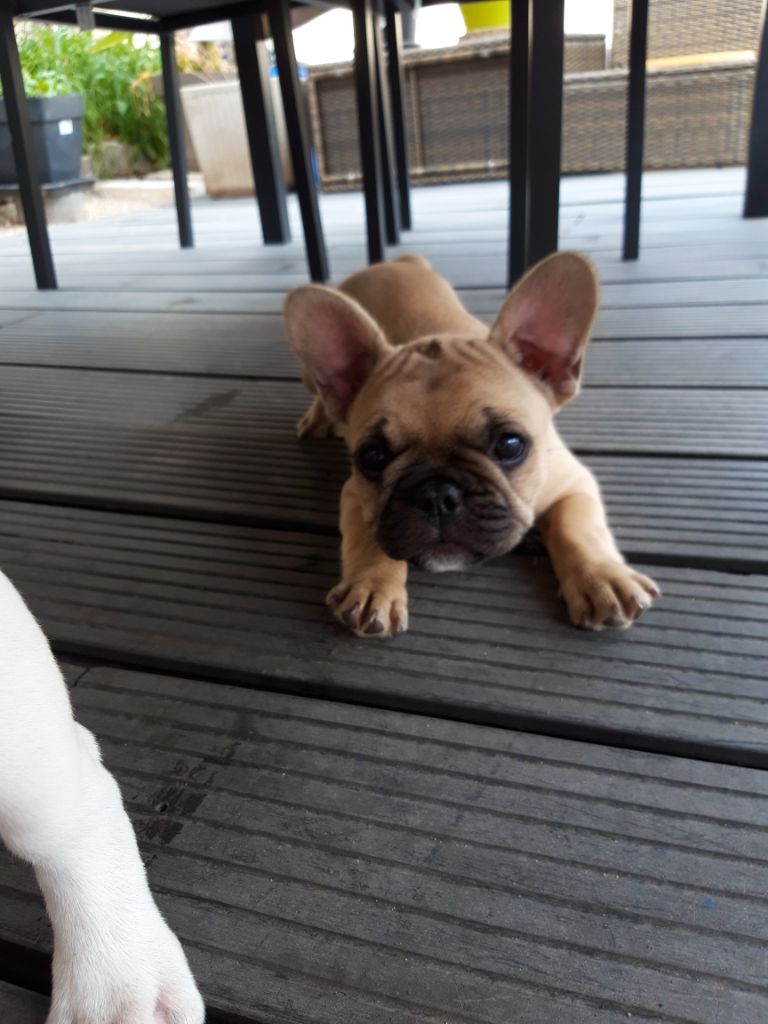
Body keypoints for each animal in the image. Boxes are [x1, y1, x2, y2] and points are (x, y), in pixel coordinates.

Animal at [284, 251, 660, 638]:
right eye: (371, 457)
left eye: (510, 444)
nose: (436, 495)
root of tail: (397, 261)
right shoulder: (357, 495)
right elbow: (368, 537)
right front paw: (371, 586)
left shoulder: (573, 482)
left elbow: (578, 528)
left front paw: (602, 578)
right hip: (312, 377)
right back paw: (319, 418)